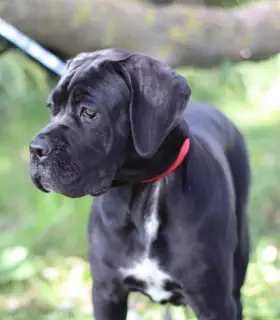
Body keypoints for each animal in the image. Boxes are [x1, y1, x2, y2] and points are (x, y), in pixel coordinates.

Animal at [29, 48, 250, 320]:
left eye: (89, 112)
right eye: (52, 107)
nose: (36, 148)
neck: (144, 190)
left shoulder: (213, 302)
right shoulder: (107, 293)